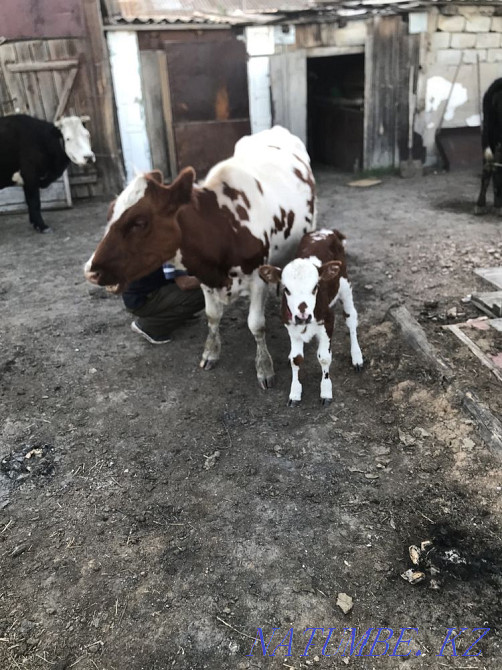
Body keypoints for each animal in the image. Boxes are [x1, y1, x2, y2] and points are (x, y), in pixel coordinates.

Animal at [84, 126, 317, 388]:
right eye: (109, 213)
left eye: (139, 222)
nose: (90, 271)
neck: (223, 224)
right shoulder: (204, 277)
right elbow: (212, 317)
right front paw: (210, 353)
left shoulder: (257, 277)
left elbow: (256, 325)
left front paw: (264, 367)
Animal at [259, 229, 363, 406]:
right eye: (286, 289)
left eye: (315, 287)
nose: (303, 316)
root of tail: (327, 231)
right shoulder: (291, 326)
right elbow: (296, 359)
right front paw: (295, 392)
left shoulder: (328, 320)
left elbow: (325, 358)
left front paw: (326, 391)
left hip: (344, 284)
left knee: (351, 319)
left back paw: (357, 356)